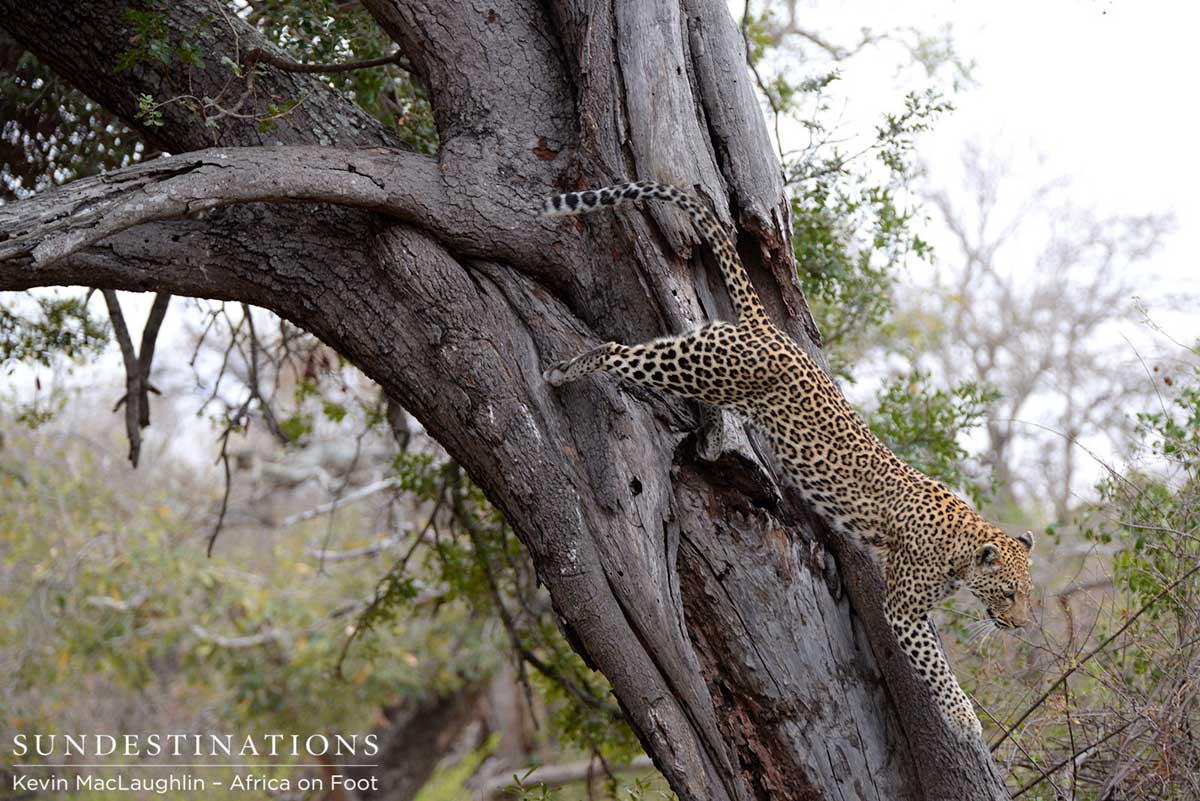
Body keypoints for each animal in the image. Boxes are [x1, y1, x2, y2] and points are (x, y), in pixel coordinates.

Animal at [540, 180, 1035, 739]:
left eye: (1025, 594)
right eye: (1009, 593)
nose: (1020, 625)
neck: (963, 544)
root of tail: (769, 328)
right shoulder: (904, 609)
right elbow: (935, 666)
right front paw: (964, 718)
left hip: (699, 350)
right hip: (703, 369)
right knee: (615, 349)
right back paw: (564, 371)